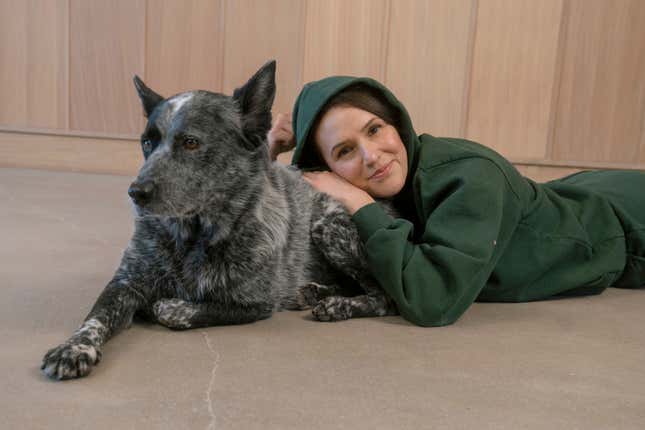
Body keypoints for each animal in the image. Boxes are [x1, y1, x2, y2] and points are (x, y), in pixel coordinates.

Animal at [41, 59, 398, 380]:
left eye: (190, 142)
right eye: (146, 142)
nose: (135, 192)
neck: (193, 237)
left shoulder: (252, 304)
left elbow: (174, 308)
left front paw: (163, 306)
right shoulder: (125, 282)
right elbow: (94, 317)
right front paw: (73, 348)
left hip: (328, 227)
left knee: (383, 298)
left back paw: (338, 305)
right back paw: (312, 292)